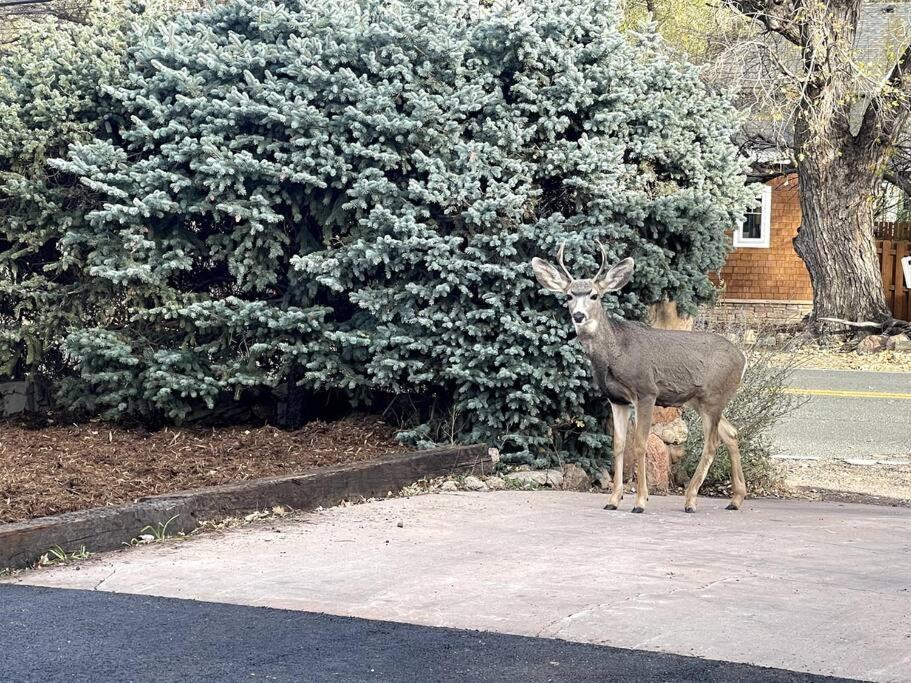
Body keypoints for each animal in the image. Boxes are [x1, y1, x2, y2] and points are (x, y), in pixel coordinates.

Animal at [536, 243, 748, 516]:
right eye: (569, 296)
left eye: (594, 295)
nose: (579, 316)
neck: (615, 353)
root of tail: (742, 358)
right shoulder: (617, 399)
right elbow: (618, 444)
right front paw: (613, 499)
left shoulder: (646, 391)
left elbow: (640, 444)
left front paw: (640, 501)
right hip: (699, 401)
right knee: (731, 433)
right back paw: (735, 499)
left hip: (714, 396)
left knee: (711, 443)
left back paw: (691, 500)